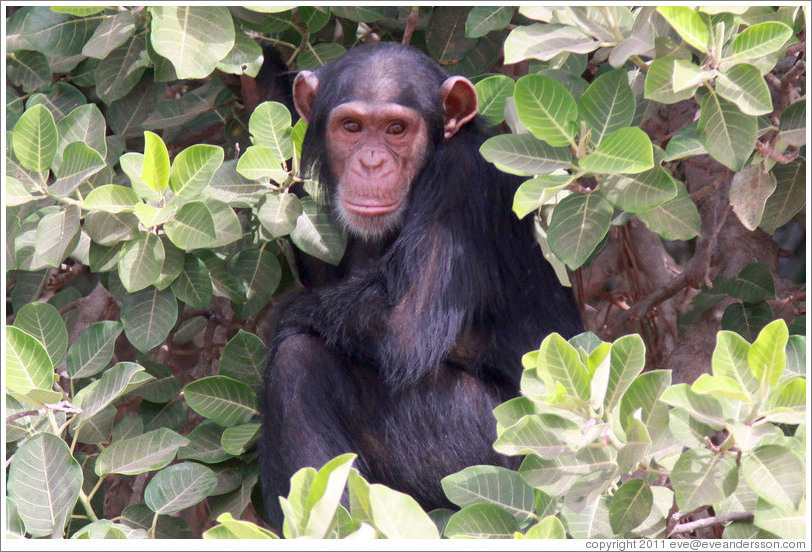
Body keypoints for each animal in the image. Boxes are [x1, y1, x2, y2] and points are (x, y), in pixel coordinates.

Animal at [256, 42, 580, 528]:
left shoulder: (461, 184)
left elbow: (404, 324)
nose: (372, 161)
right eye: (351, 127)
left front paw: (282, 317)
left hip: (494, 452)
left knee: (301, 362)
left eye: (396, 129)